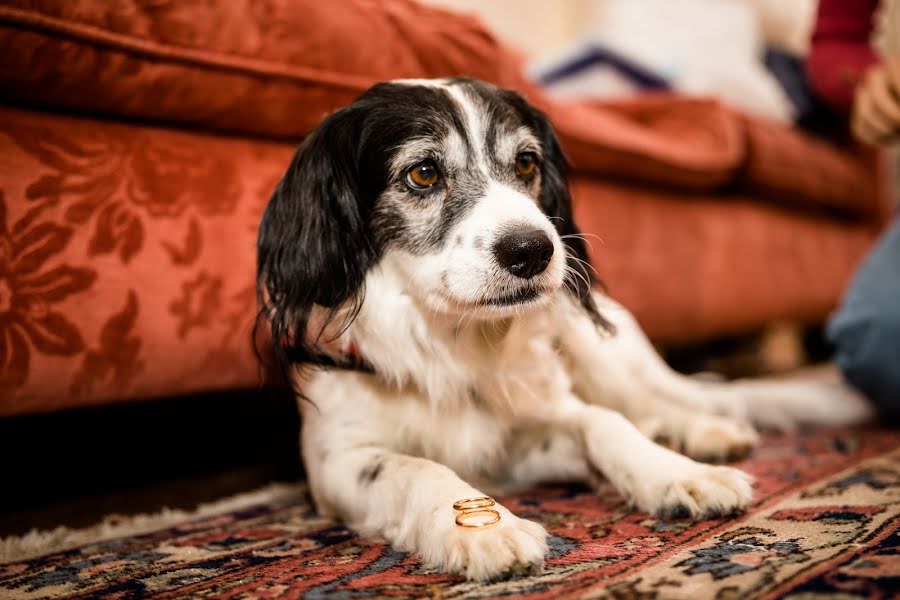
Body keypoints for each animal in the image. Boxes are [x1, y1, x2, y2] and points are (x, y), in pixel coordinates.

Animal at [256, 77, 876, 580]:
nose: (534, 250)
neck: (451, 339)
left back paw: (702, 433)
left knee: (662, 400)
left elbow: (603, 422)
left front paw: (678, 473)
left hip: (602, 347)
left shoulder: (530, 427)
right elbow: (415, 468)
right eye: (424, 172)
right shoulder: (335, 463)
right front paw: (485, 530)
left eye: (527, 163)